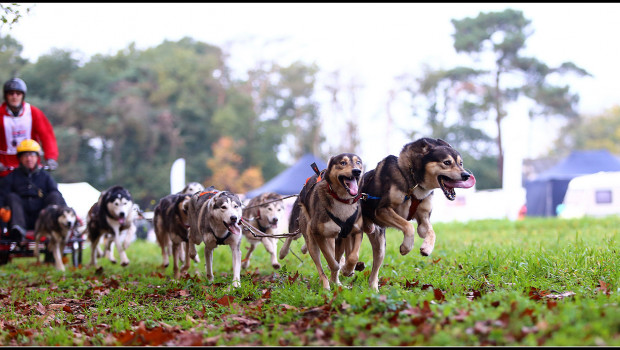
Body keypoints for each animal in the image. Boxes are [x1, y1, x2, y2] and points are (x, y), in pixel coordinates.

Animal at [296, 153, 364, 290]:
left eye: (358, 162)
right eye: (343, 163)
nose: (357, 171)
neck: (342, 200)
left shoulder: (356, 231)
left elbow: (353, 256)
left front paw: (347, 270)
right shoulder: (318, 234)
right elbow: (331, 260)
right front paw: (339, 268)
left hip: (338, 240)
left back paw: (336, 282)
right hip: (311, 242)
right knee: (320, 267)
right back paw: (326, 285)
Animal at [360, 138, 478, 292]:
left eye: (461, 163)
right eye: (447, 162)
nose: (466, 175)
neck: (413, 181)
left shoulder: (423, 219)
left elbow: (431, 233)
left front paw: (426, 248)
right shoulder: (382, 210)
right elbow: (408, 226)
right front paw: (406, 247)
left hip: (380, 246)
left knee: (373, 272)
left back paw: (372, 289)